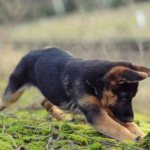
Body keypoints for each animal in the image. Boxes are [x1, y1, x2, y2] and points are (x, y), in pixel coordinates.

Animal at [0, 47, 149, 141]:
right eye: (125, 97)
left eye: (131, 97)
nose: (130, 118)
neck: (95, 81)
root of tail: (33, 51)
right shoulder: (97, 114)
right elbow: (117, 128)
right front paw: (133, 139)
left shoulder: (108, 109)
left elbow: (130, 125)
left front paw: (141, 135)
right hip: (13, 94)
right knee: (4, 101)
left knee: (45, 101)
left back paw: (62, 116)